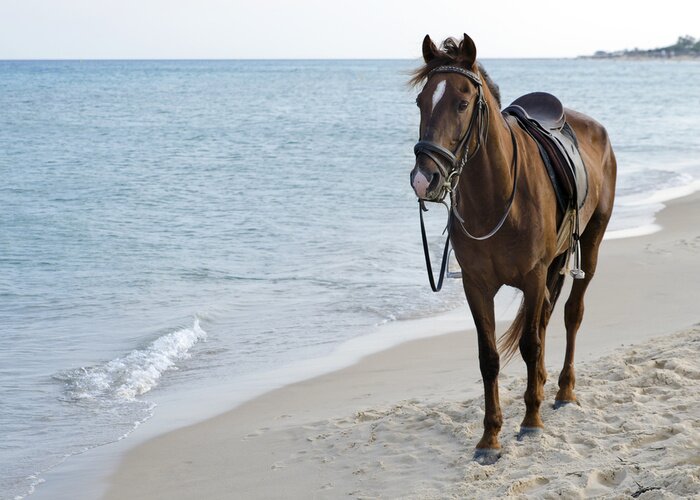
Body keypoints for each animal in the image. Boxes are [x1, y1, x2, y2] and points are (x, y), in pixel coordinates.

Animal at [409, 34, 617, 464]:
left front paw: (531, 421)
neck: (496, 195)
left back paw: (563, 390)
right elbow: (489, 357)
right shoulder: (476, 285)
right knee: (546, 318)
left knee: (571, 314)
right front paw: (490, 438)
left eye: (462, 103)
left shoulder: (533, 277)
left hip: (590, 245)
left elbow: (530, 343)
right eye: (420, 102)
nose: (424, 179)